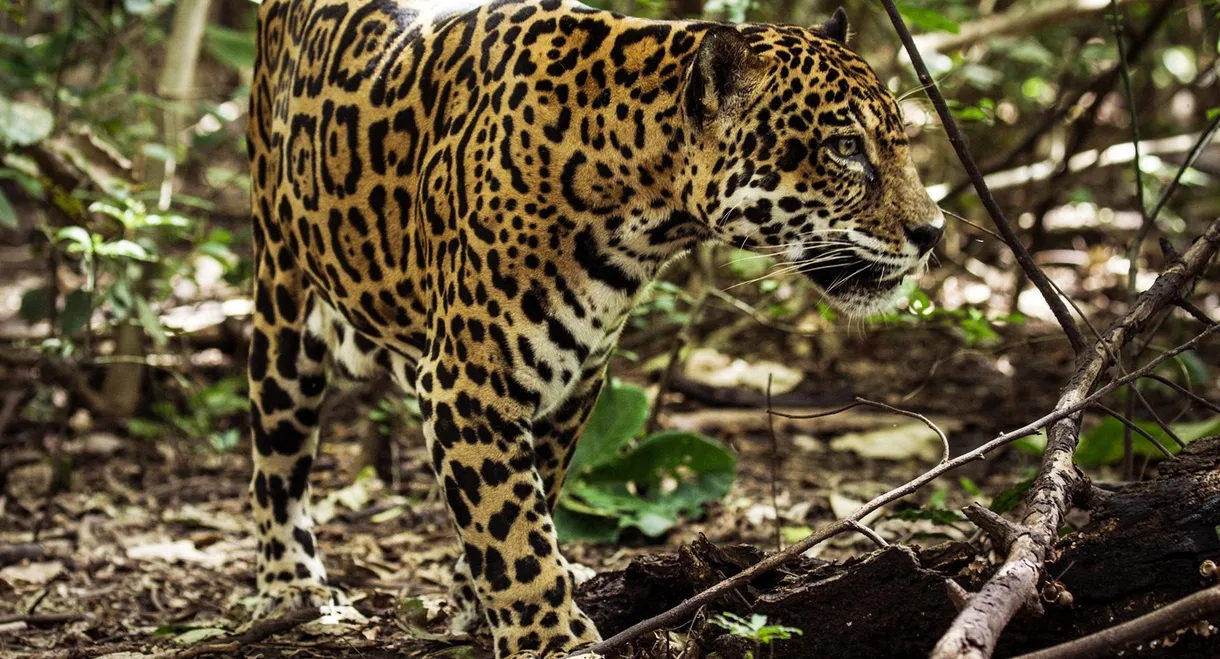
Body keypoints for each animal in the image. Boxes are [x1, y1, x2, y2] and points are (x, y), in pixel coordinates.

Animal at [245, 0, 944, 656]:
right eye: (845, 148)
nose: (933, 231)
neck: (642, 204)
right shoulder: (468, 382)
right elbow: (508, 521)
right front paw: (548, 638)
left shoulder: (575, 378)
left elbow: (532, 494)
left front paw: (477, 600)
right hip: (282, 299)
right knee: (276, 462)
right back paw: (290, 586)